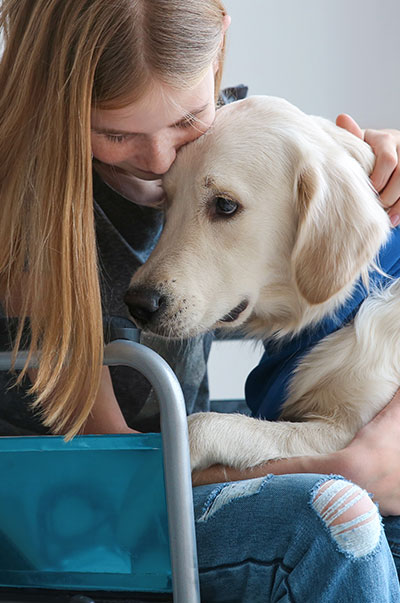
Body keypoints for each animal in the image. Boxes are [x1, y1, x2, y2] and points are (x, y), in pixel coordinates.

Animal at [124, 95, 400, 472]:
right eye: (167, 201)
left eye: (225, 205)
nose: (138, 304)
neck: (339, 310)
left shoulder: (348, 431)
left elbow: (200, 426)